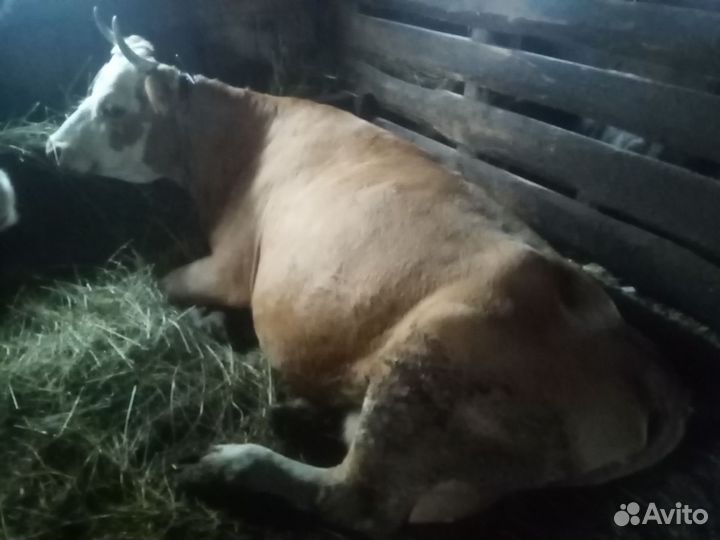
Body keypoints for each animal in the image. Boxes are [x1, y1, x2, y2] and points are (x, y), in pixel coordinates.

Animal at [45, 10, 690, 536]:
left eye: (113, 108)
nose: (51, 147)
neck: (234, 146)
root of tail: (633, 350)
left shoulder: (230, 266)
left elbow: (164, 281)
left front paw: (201, 318)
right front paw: (211, 326)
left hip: (428, 359)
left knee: (357, 500)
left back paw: (231, 464)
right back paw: (293, 411)